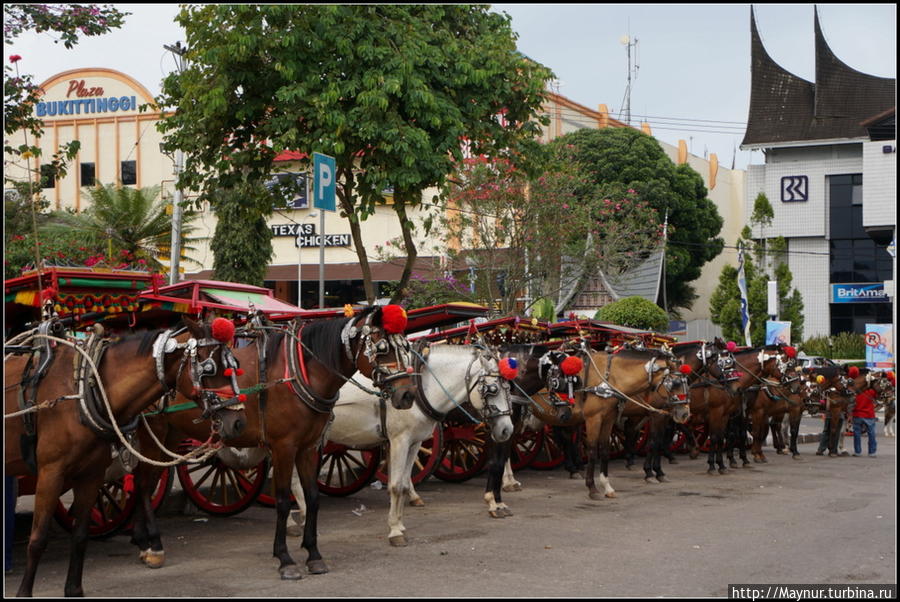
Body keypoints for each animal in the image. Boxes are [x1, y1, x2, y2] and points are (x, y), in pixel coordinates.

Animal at [6, 316, 239, 592]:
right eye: (209, 368)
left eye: (234, 366)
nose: (238, 422)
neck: (85, 388)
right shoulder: (50, 472)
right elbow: (38, 539)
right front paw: (23, 593)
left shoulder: (91, 475)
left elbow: (80, 536)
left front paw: (74, 590)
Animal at [126, 308, 414, 580]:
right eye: (382, 347)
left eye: (406, 347)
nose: (407, 395)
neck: (303, 372)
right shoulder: (283, 447)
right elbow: (283, 500)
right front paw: (285, 559)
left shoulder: (309, 447)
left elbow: (312, 498)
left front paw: (314, 555)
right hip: (154, 432)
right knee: (144, 483)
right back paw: (154, 545)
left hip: (171, 435)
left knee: (145, 479)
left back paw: (141, 540)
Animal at [288, 342, 512, 544]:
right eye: (492, 389)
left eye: (508, 388)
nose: (507, 430)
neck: (421, 387)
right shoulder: (399, 440)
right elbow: (395, 485)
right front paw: (395, 531)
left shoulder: (415, 442)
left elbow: (404, 484)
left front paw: (400, 524)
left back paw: (300, 519)